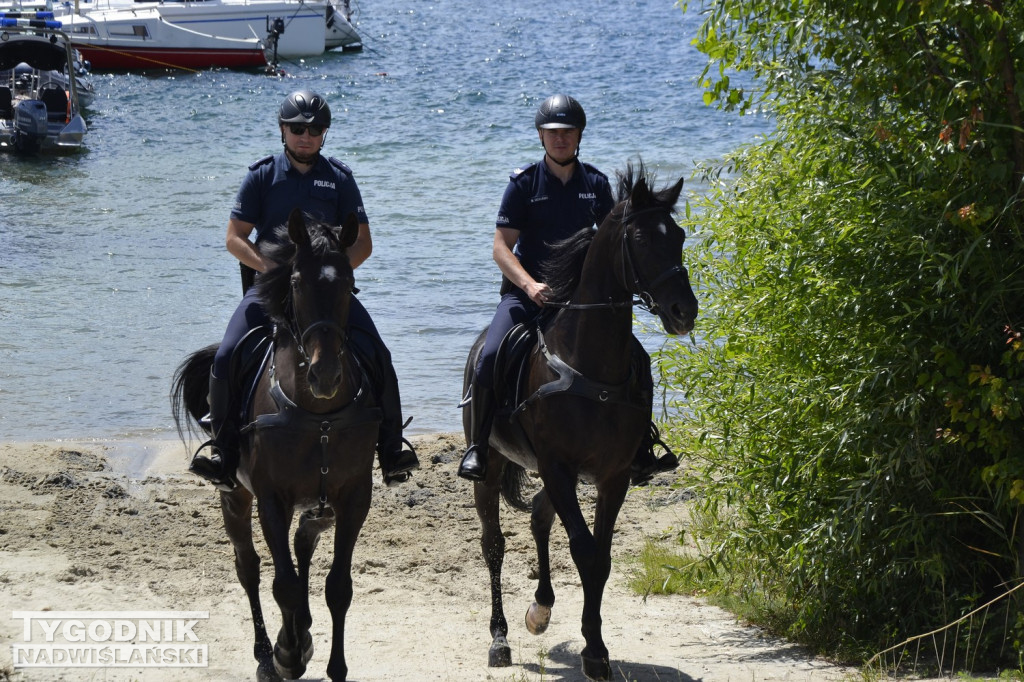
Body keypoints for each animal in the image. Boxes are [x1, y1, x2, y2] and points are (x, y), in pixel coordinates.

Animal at [172, 209, 380, 675]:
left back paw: (302, 631)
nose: (325, 375)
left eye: (348, 284)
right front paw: (287, 654)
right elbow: (281, 582)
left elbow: (338, 586)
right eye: (297, 282)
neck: (318, 415)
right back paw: (269, 654)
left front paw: (333, 666)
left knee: (303, 546)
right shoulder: (271, 498)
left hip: (316, 506)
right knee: (248, 568)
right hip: (234, 496)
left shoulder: (354, 496)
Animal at [462, 161, 696, 675]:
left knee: (537, 518)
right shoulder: (558, 468)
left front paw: (596, 647)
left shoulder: (612, 476)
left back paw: (540, 608)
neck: (589, 364)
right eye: (642, 239)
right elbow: (584, 550)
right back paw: (500, 639)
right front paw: (593, 651)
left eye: (680, 236)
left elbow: (600, 557)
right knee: (495, 544)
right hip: (492, 468)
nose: (683, 311)